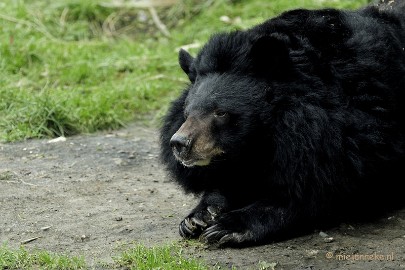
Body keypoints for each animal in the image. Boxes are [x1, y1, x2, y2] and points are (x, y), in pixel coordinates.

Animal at [159, 0, 402, 247]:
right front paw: (198, 217)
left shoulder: (356, 138)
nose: (180, 144)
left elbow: (319, 192)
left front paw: (229, 226)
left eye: (221, 113)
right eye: (187, 112)